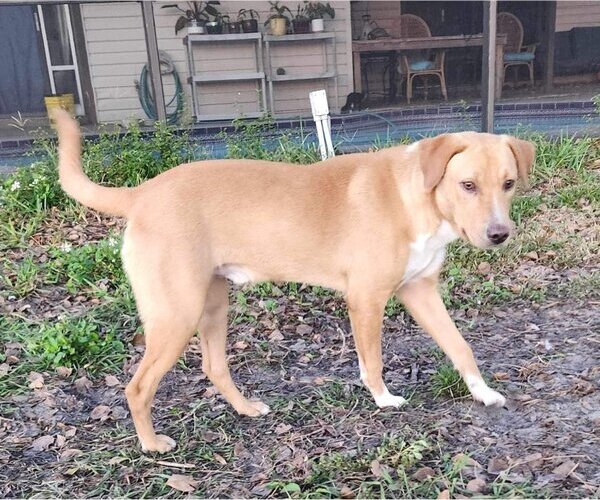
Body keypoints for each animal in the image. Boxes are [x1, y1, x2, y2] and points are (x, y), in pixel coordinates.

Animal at [54, 110, 536, 454]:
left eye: (509, 183)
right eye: (467, 185)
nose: (499, 235)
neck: (417, 197)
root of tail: (142, 192)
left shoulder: (420, 291)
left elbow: (460, 346)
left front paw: (483, 392)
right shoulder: (367, 299)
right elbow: (373, 362)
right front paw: (383, 400)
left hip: (212, 304)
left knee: (214, 366)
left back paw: (246, 409)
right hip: (177, 315)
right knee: (137, 387)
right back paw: (152, 444)